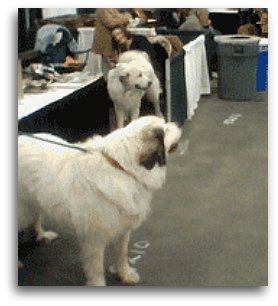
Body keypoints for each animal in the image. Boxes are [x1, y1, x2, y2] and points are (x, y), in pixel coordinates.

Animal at [17, 116, 182, 286]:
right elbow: (96, 267)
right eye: (166, 129)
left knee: (35, 219)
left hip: (33, 203)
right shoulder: (94, 238)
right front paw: (98, 284)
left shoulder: (123, 229)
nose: (177, 123)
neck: (121, 167)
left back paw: (42, 235)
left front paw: (125, 274)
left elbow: (122, 255)